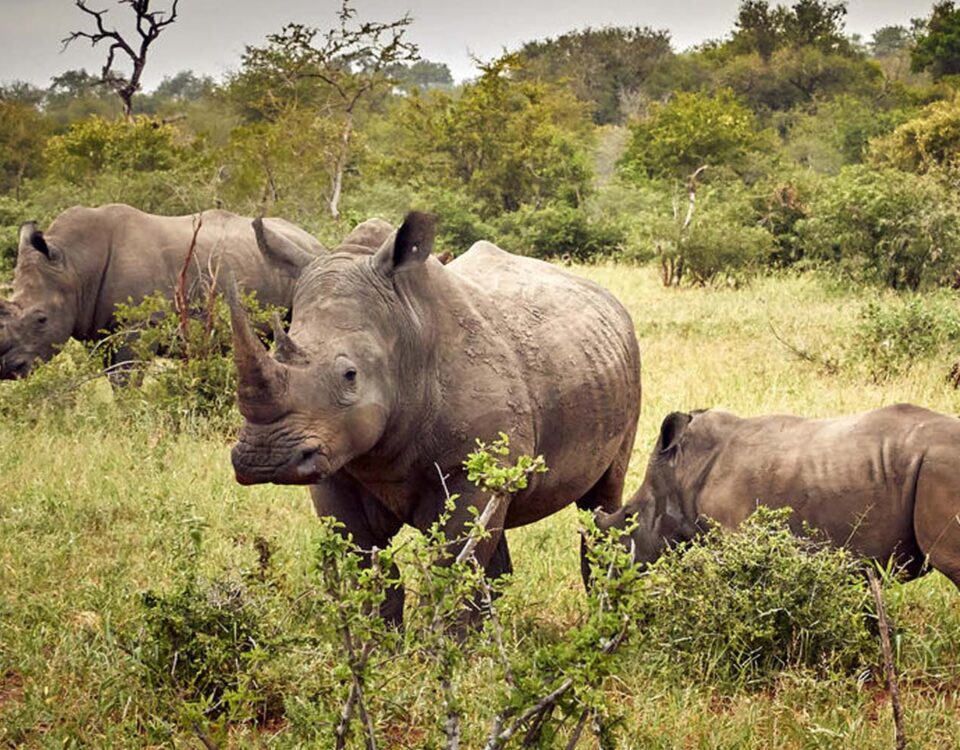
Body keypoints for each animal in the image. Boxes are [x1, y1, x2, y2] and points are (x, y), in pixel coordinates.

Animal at [0, 203, 366, 379]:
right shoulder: (98, 329)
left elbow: (124, 379)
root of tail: (313, 240)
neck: (75, 267)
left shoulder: (137, 329)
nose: (8, 371)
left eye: (41, 319)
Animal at [227, 211, 642, 623]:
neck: (405, 334)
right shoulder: (335, 467)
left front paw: (442, 639)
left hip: (624, 360)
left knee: (601, 501)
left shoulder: (468, 467)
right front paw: (381, 638)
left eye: (350, 375)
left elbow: (450, 572)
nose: (264, 458)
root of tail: (606, 297)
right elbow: (369, 570)